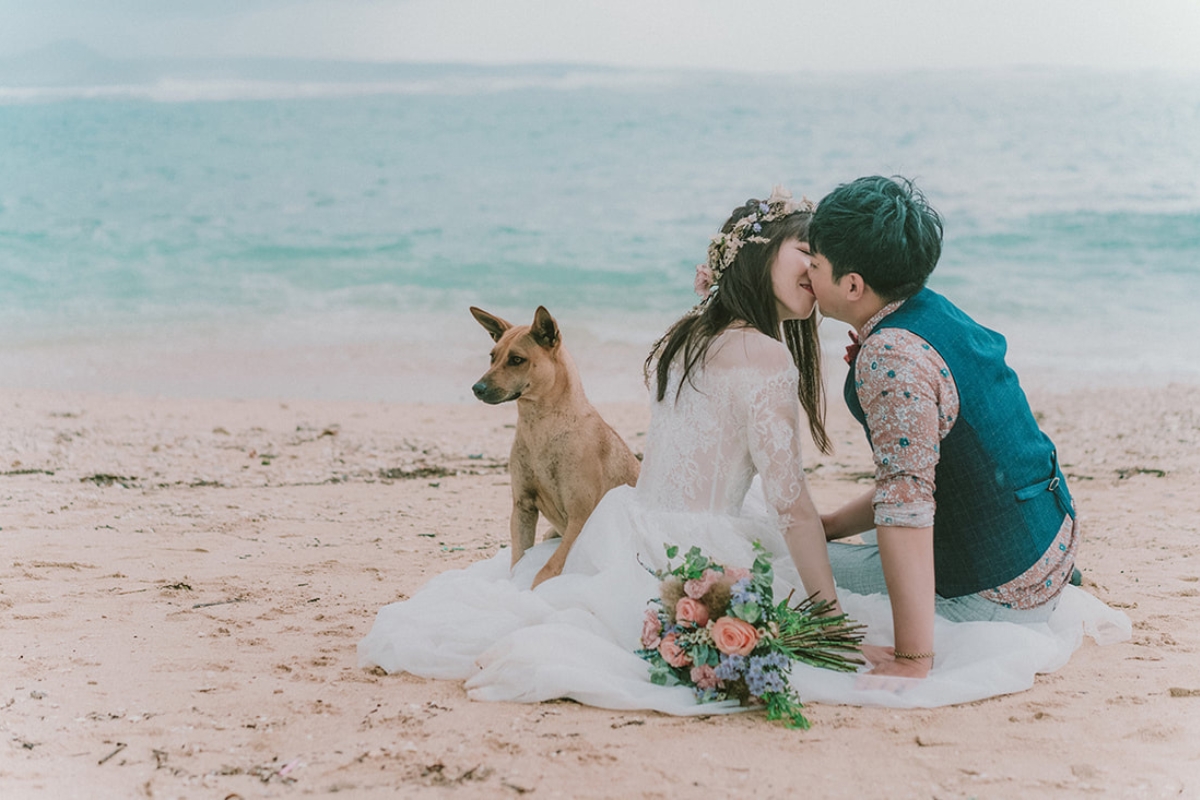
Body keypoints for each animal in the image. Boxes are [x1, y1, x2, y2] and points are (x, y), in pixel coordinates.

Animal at [468, 307, 643, 587]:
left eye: (517, 360)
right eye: (492, 357)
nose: (477, 388)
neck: (542, 424)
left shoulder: (580, 516)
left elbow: (547, 570)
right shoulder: (523, 508)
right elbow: (518, 560)